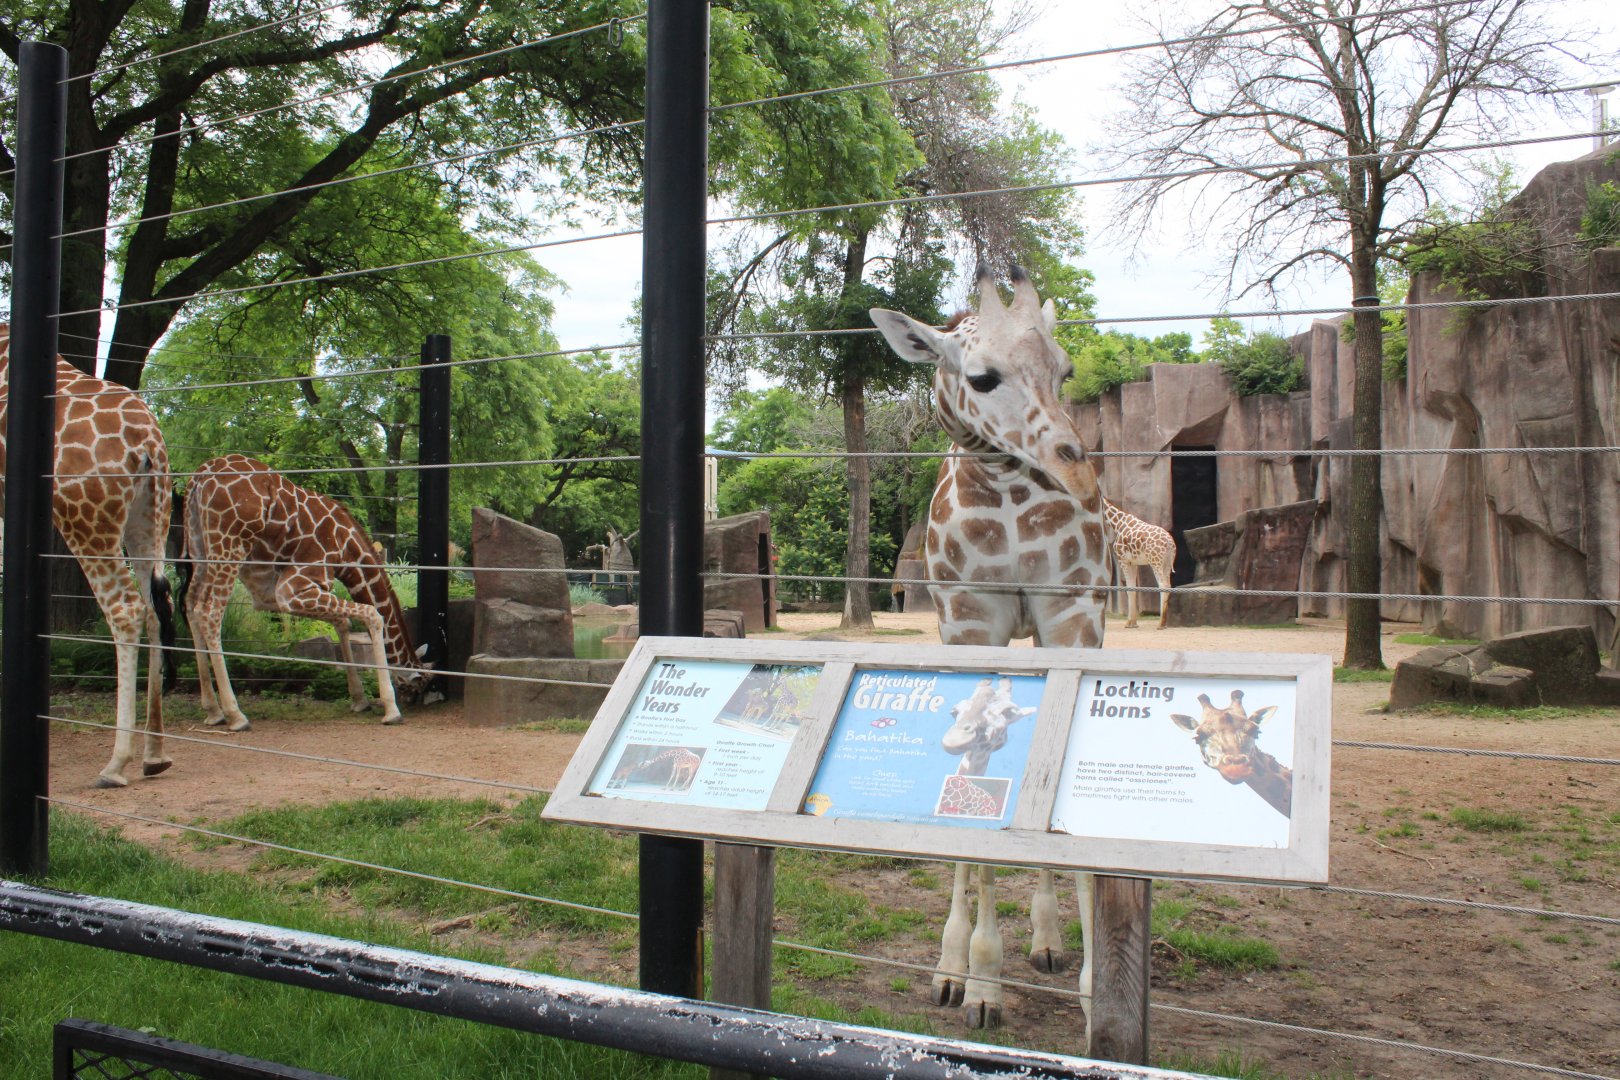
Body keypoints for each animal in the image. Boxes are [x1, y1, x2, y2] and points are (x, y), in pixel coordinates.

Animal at [0, 326, 178, 788]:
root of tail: (149, 444)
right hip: (149, 518)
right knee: (156, 609)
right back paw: (154, 754)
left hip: (86, 521)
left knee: (127, 610)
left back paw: (116, 764)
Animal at [176, 454, 435, 730]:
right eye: (417, 684)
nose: (414, 703)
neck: (349, 551)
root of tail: (199, 476)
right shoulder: (294, 588)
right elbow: (372, 614)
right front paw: (390, 708)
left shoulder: (269, 594)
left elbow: (342, 623)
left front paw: (359, 699)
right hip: (228, 546)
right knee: (210, 613)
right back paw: (236, 715)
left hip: (198, 548)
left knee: (191, 607)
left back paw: (213, 710)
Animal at [872, 264, 1111, 1031]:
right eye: (980, 378)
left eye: (1065, 370)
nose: (1079, 473)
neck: (1006, 489)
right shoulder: (972, 622)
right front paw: (976, 983)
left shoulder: (1073, 614)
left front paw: (1096, 994)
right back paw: (959, 966)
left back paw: (1048, 941)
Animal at [1103, 498, 1175, 629]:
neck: (1117, 523)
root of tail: (1169, 543)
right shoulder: (1133, 562)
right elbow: (1133, 588)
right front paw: (1133, 623)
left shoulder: (1123, 560)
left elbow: (1129, 589)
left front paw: (1129, 623)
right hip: (1167, 563)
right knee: (1168, 586)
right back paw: (1164, 623)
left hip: (1155, 561)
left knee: (1163, 585)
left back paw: (1160, 623)